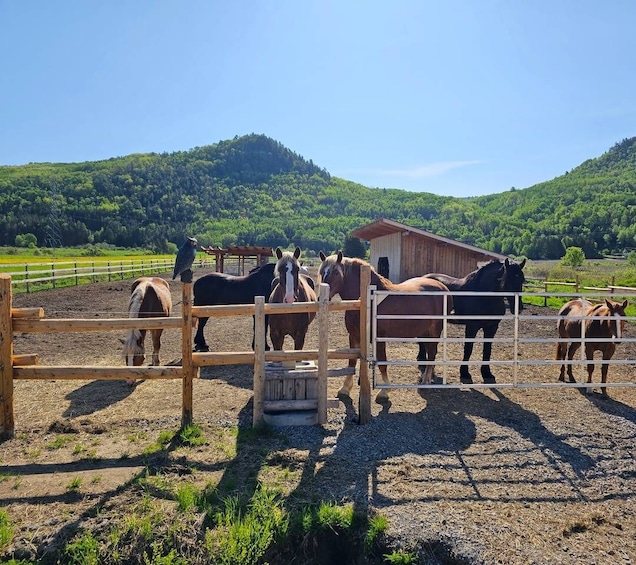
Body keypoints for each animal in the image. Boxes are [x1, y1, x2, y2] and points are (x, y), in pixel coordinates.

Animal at [318, 251, 452, 400]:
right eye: (322, 272)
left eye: (336, 273)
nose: (320, 298)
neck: (368, 301)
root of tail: (443, 288)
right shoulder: (354, 337)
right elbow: (352, 362)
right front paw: (345, 389)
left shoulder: (379, 338)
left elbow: (382, 363)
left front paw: (384, 391)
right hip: (424, 332)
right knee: (430, 351)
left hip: (435, 330)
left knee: (432, 352)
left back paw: (426, 380)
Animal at [422, 256, 528, 384]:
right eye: (508, 279)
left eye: (522, 280)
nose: (518, 308)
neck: (483, 296)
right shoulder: (472, 327)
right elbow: (468, 349)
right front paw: (465, 373)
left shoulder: (492, 328)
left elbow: (487, 350)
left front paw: (487, 373)